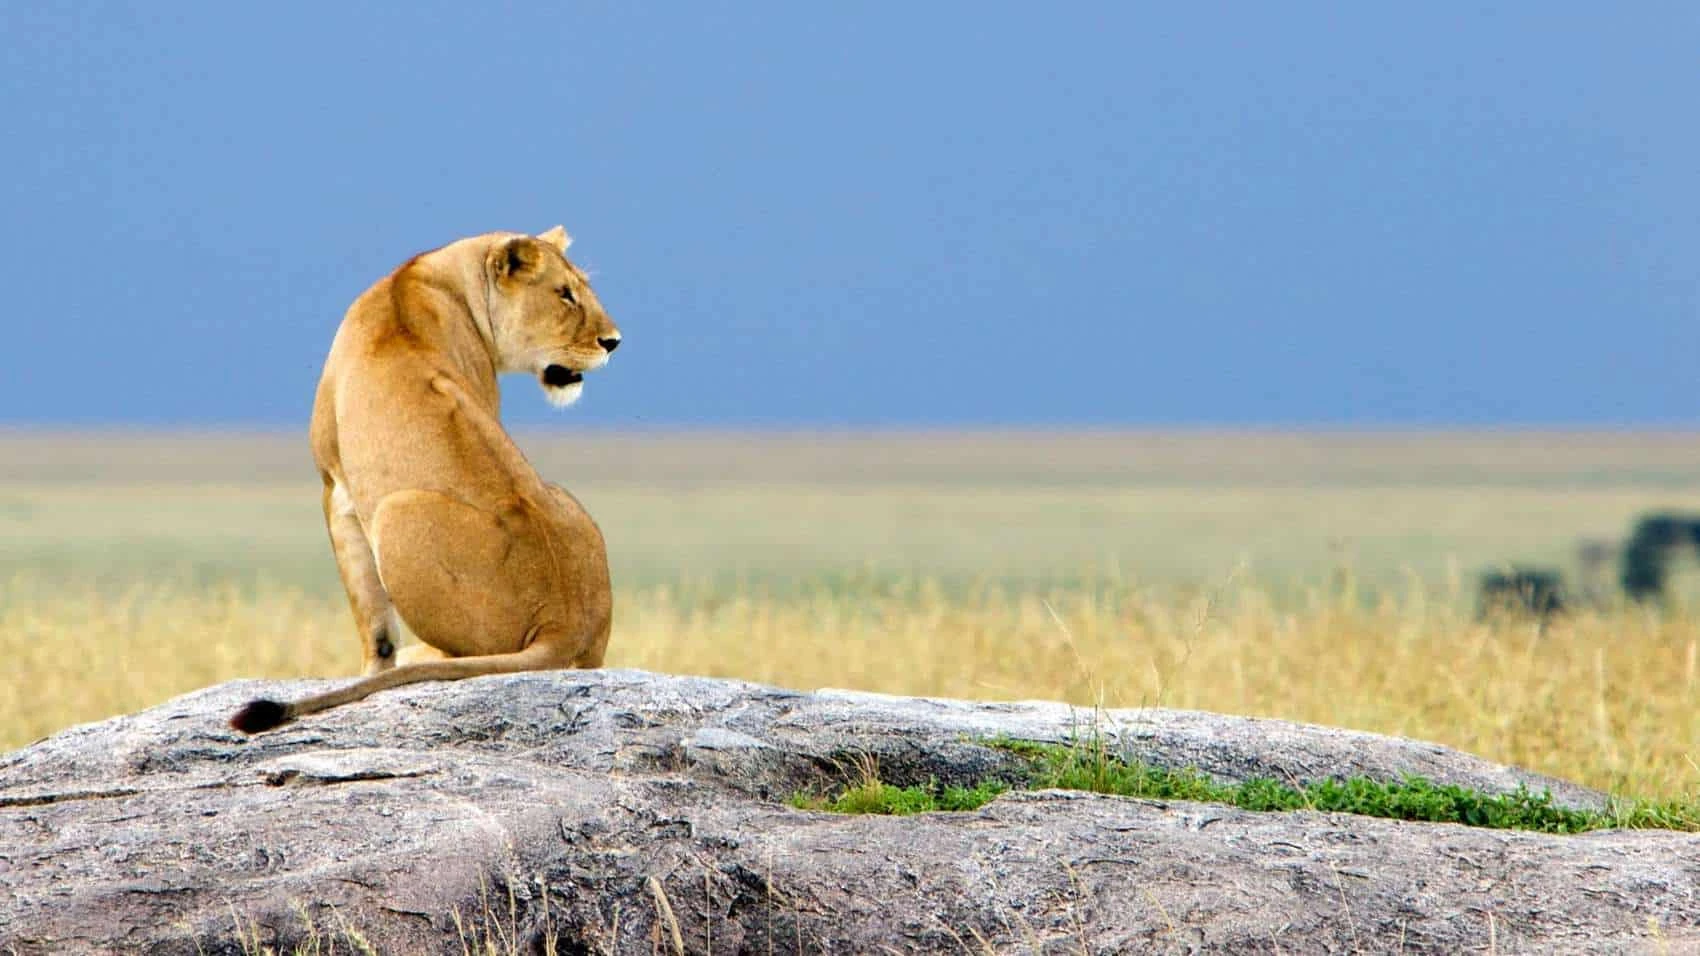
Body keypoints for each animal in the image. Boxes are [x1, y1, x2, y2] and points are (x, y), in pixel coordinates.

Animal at [230, 226, 621, 733]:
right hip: (562, 494)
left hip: (396, 510)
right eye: (565, 294)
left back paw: (421, 654)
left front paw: (373, 666)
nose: (613, 342)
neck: (426, 276)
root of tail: (563, 621)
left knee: (461, 656)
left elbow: (372, 619)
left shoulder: (334, 486)